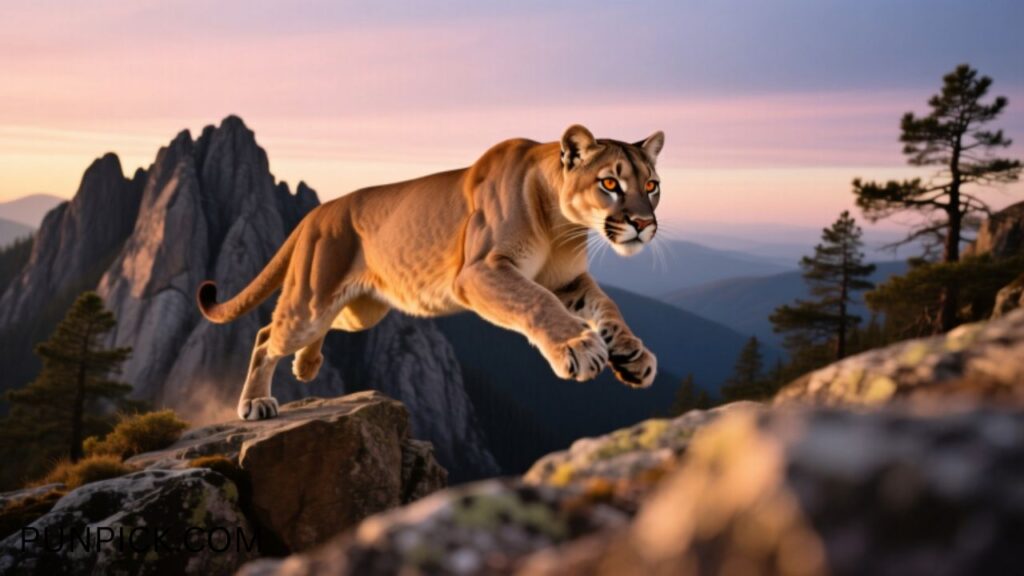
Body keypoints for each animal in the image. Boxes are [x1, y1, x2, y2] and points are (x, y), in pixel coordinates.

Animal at [197, 124, 665, 420]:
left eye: (652, 185)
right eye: (609, 183)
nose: (644, 223)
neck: (562, 226)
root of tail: (319, 210)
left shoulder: (566, 281)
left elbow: (606, 305)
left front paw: (632, 355)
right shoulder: (479, 272)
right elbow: (536, 301)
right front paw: (579, 347)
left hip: (359, 312)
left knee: (319, 326)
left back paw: (306, 365)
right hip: (310, 303)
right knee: (265, 336)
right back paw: (256, 403)